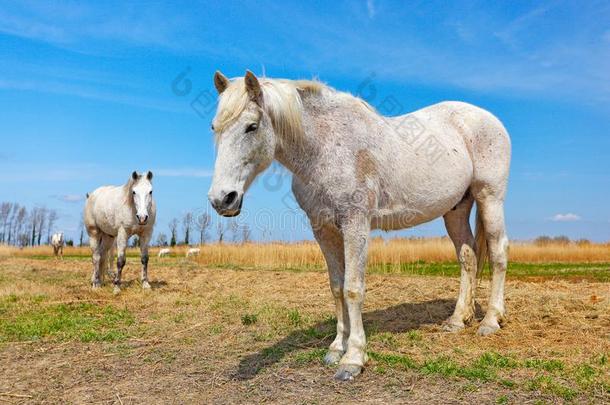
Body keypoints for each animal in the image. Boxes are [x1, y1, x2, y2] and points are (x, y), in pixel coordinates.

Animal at [207, 71, 510, 380]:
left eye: (252, 127)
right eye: (214, 127)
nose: (222, 199)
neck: (325, 148)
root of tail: (488, 118)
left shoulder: (356, 225)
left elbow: (353, 288)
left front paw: (353, 358)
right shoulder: (323, 229)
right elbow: (336, 287)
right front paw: (336, 348)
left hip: (489, 198)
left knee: (498, 253)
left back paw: (490, 321)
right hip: (456, 210)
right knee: (468, 257)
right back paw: (458, 319)